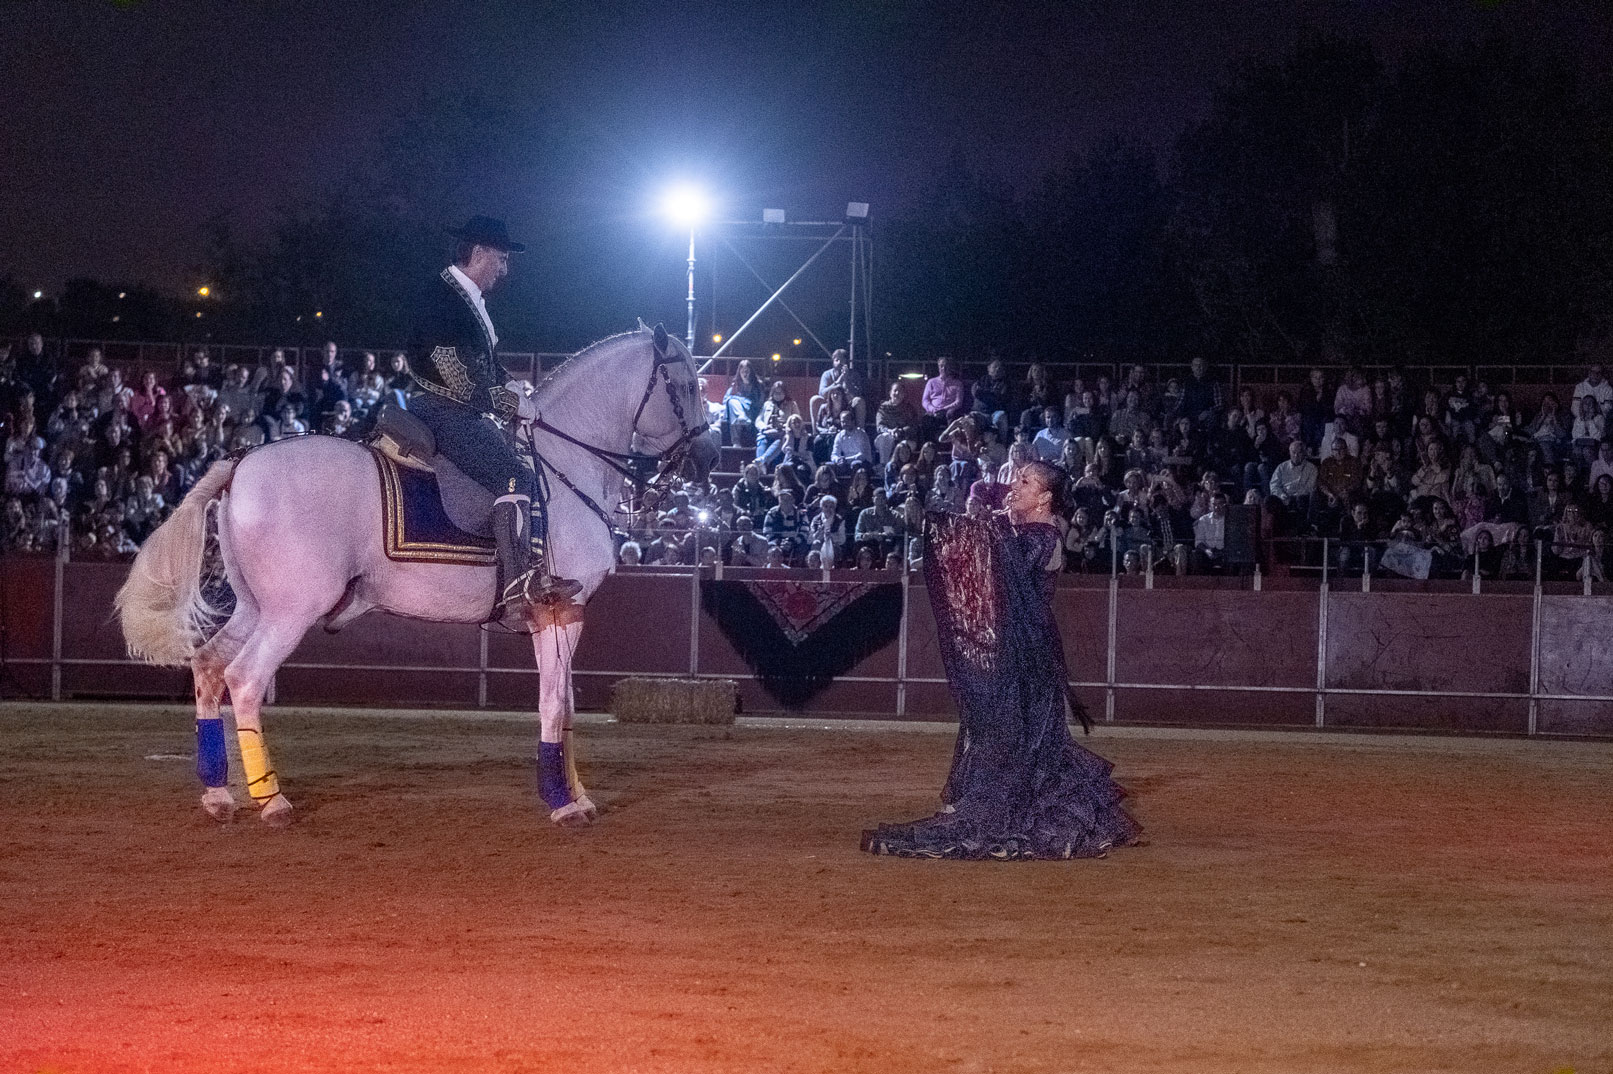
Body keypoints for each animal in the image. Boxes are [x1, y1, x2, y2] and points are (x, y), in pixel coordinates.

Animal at [116, 322, 716, 822]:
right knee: (244, 680)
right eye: (686, 385)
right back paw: (271, 799)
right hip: (291, 611)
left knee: (209, 668)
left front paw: (578, 794)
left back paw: (219, 793)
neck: (564, 469)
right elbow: (552, 705)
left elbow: (565, 706)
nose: (709, 458)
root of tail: (241, 461)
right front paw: (563, 803)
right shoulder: (559, 610)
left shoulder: (557, 618)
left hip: (254, 607)